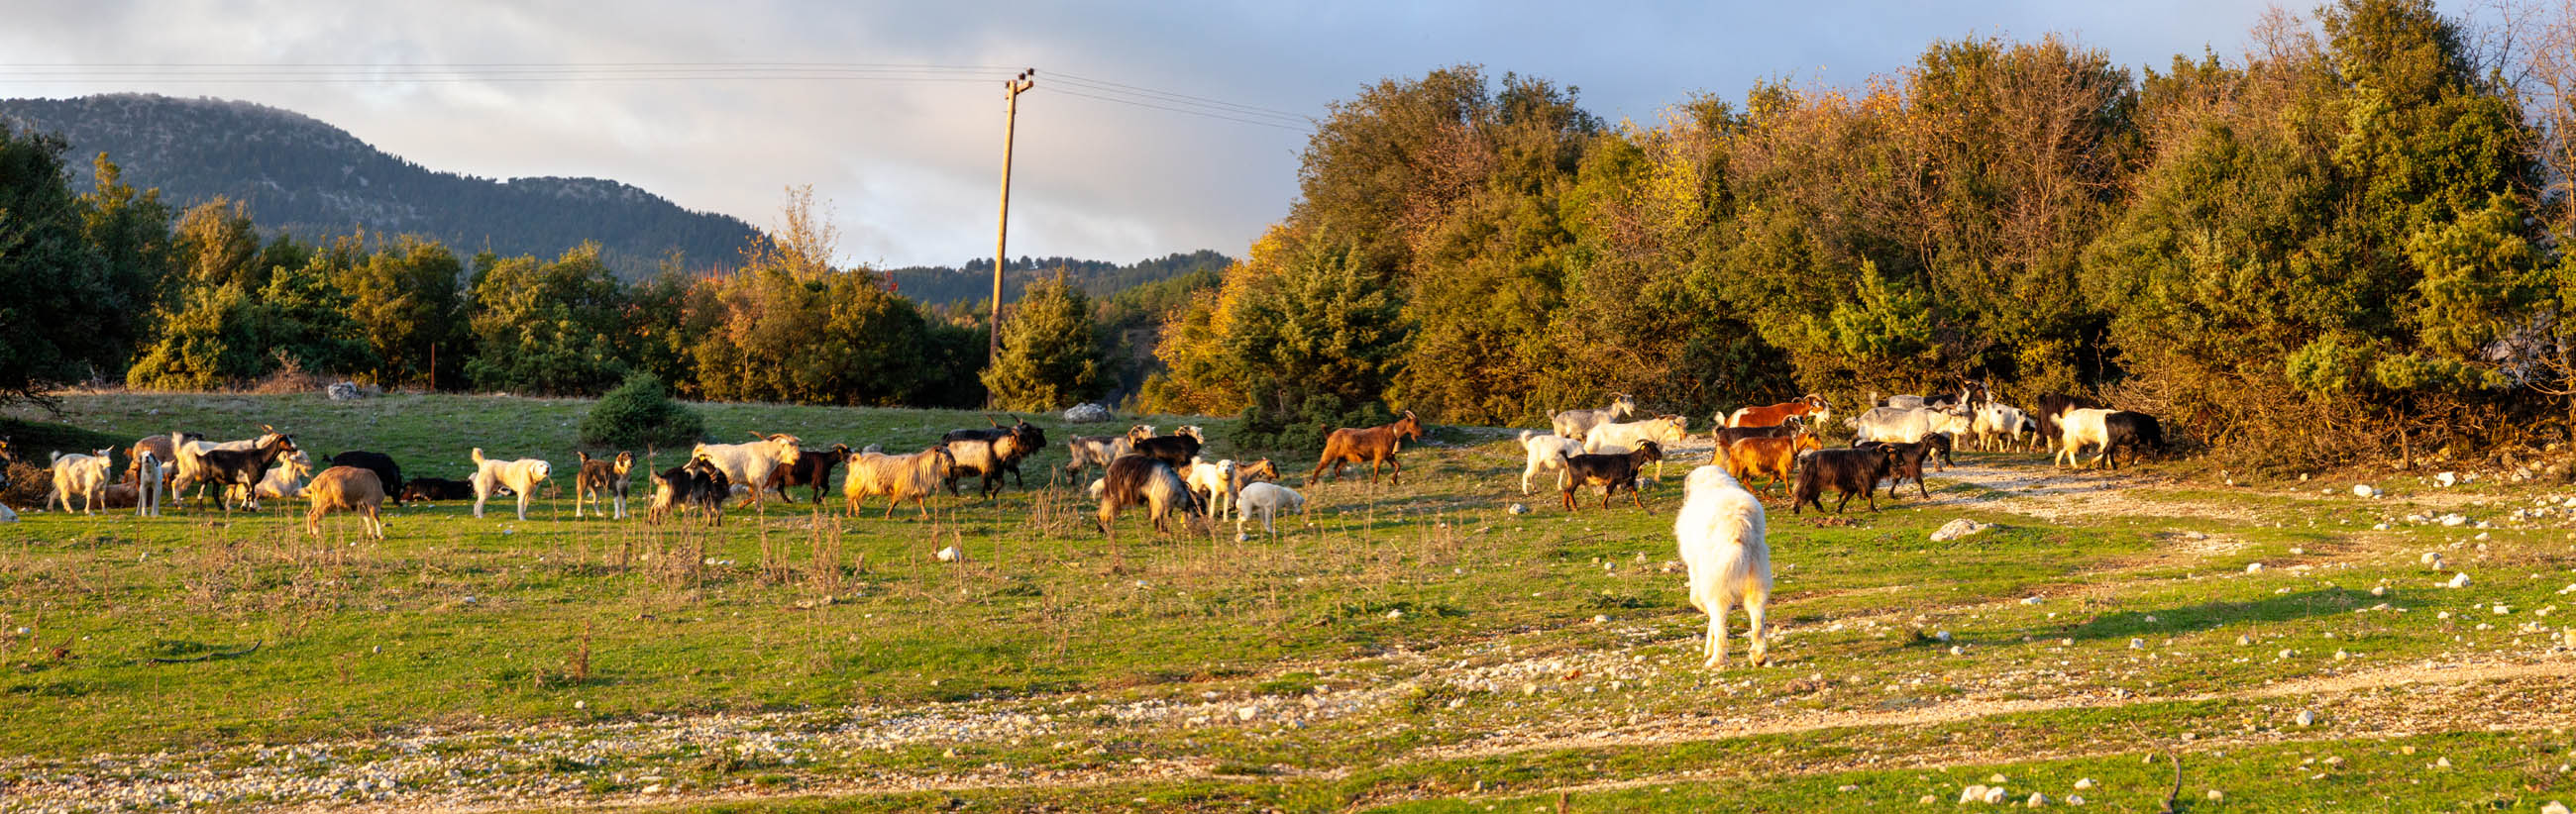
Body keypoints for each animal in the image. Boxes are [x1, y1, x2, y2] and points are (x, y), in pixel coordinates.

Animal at [1668, 463, 1771, 669]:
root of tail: (1740, 522)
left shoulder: (1698, 571)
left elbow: (1699, 603)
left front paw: (1709, 644)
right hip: (1756, 577)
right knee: (1757, 618)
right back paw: (1759, 656)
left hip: (1717, 574)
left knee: (1719, 613)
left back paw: (1717, 659)